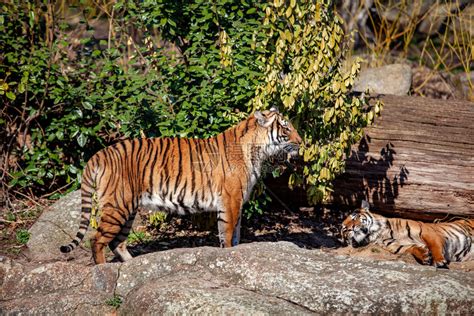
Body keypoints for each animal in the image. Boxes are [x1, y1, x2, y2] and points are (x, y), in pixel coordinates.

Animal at [61, 108, 302, 264]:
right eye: (286, 129)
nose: (301, 142)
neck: (256, 150)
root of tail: (99, 154)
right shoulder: (231, 200)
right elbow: (227, 234)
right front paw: (227, 255)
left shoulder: (237, 202)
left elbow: (236, 234)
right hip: (117, 206)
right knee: (97, 240)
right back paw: (104, 270)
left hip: (127, 209)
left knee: (116, 243)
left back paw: (131, 266)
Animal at [342, 201, 472, 268]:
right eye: (344, 230)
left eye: (354, 217)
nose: (350, 228)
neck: (379, 232)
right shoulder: (397, 246)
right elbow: (412, 248)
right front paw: (424, 256)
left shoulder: (428, 232)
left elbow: (434, 246)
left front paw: (439, 260)